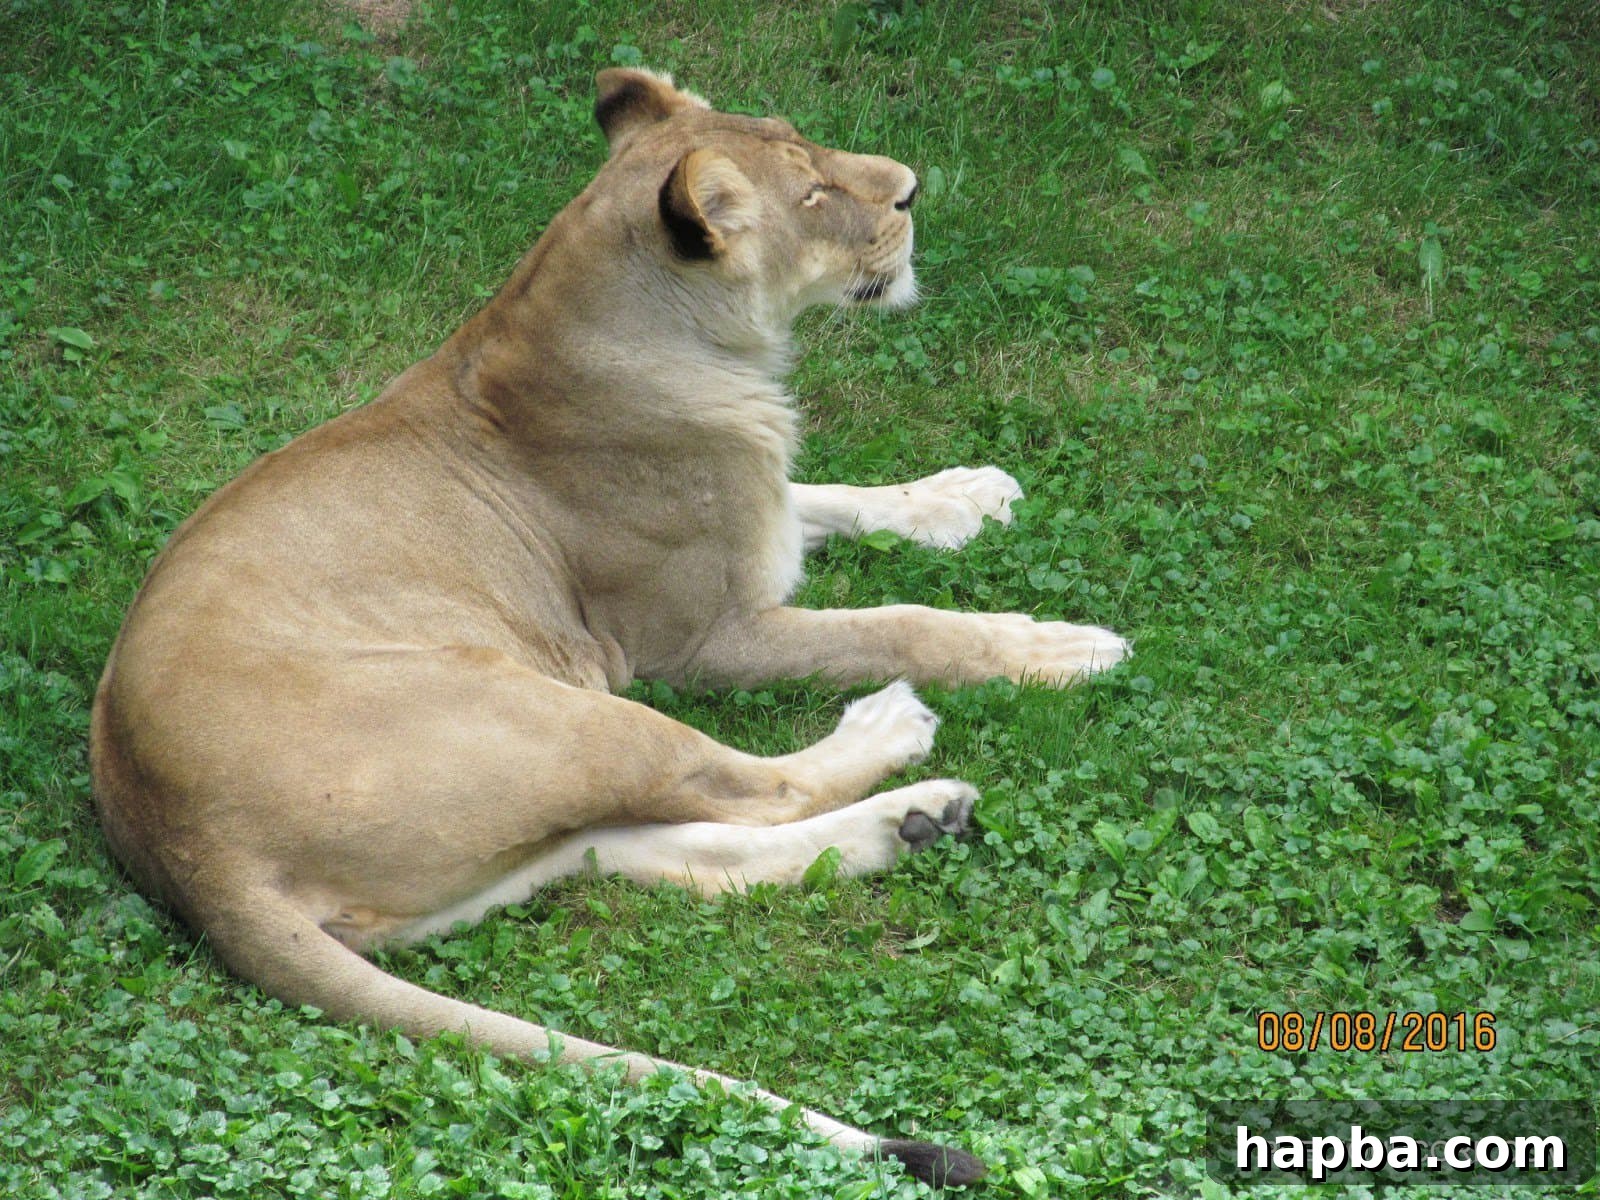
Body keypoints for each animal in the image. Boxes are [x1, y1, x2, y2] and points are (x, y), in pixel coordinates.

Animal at [89, 68, 1128, 1187]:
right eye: (811, 193)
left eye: (806, 144)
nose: (909, 189)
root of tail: (188, 850)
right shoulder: (704, 638)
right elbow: (903, 623)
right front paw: (1056, 647)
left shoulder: (762, 525)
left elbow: (845, 496)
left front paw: (964, 493)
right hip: (560, 709)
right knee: (754, 789)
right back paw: (894, 738)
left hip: (511, 834)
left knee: (686, 850)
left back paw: (914, 824)